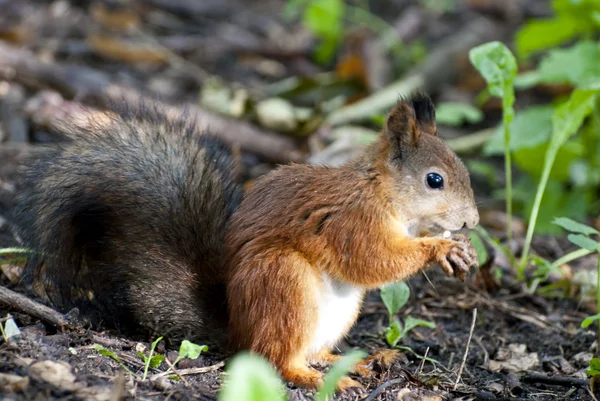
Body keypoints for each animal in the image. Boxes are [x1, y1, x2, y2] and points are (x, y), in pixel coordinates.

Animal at [12, 91, 478, 390]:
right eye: (434, 180)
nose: (472, 221)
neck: (382, 191)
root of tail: (237, 328)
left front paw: (460, 248)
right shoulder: (351, 221)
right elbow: (372, 260)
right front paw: (441, 249)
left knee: (307, 350)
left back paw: (357, 359)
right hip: (282, 280)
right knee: (276, 358)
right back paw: (314, 377)